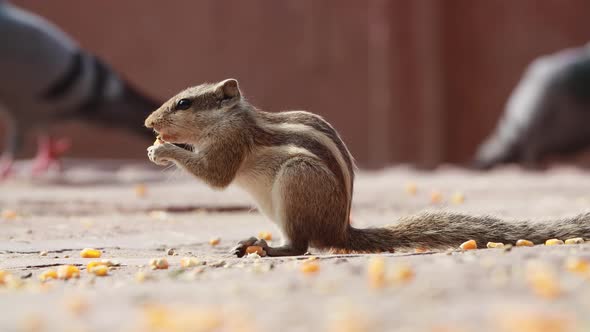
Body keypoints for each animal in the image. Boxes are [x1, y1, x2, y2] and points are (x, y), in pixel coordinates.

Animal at [146, 78, 590, 256]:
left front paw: (163, 152)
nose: (150, 124)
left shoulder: (230, 144)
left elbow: (216, 176)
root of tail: (340, 229)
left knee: (301, 246)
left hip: (295, 181)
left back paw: (268, 247)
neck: (232, 118)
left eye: (184, 103)